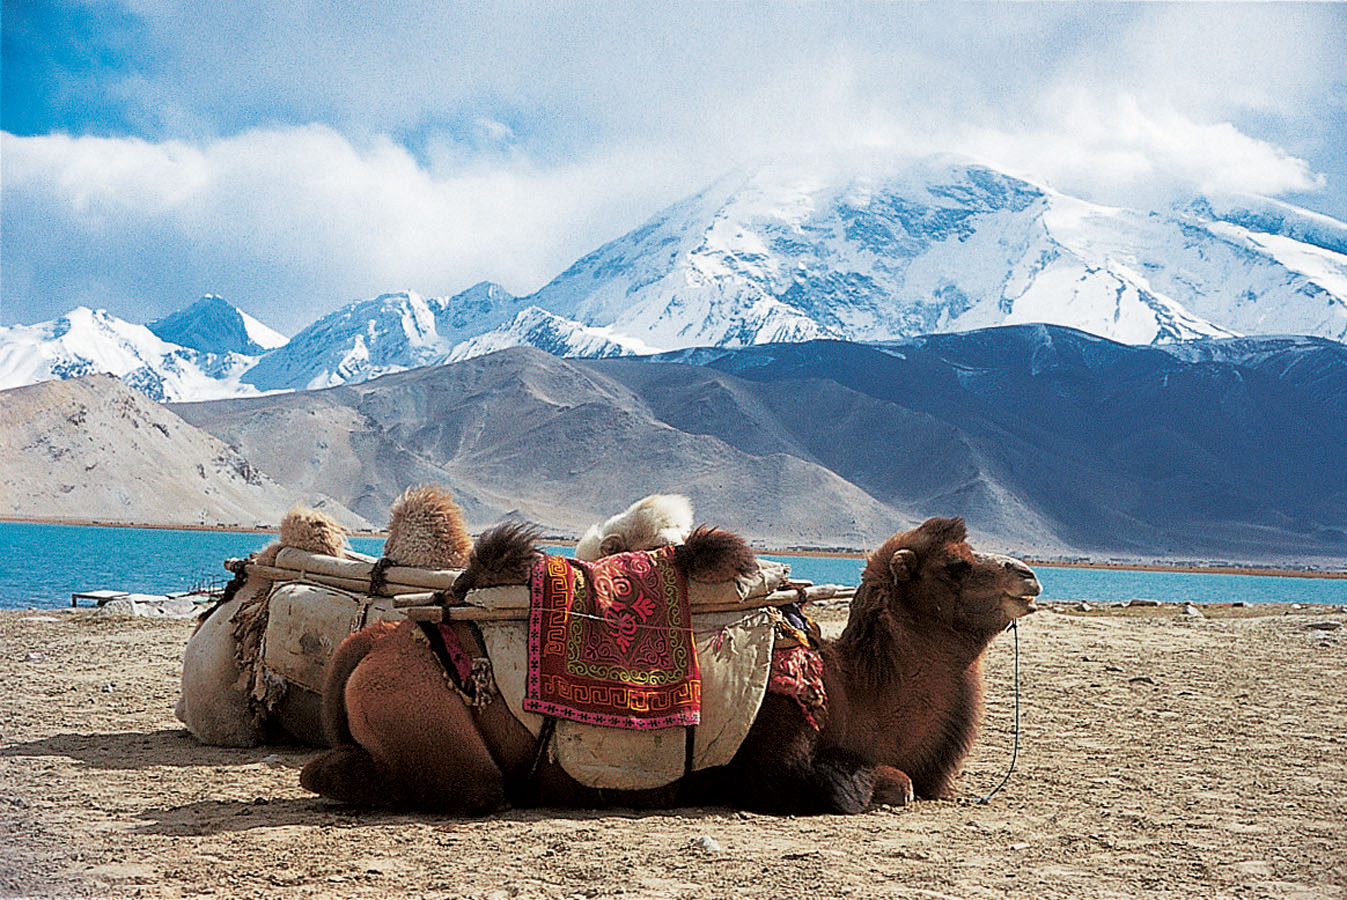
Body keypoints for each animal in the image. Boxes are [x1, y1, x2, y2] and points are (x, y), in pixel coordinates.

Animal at [303, 511, 1039, 813]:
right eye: (953, 566)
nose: (1028, 576)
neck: (852, 690)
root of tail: (369, 643)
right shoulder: (776, 757)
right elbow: (881, 784)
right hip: (430, 721)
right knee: (460, 786)